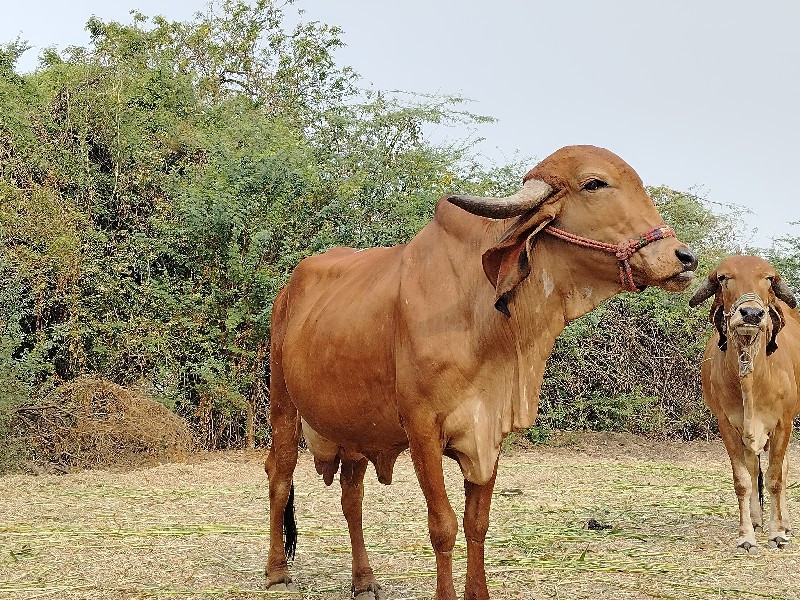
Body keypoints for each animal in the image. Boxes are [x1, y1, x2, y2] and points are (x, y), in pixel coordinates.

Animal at [262, 146, 692, 600]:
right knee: (280, 474)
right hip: (284, 403)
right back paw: (277, 571)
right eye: (595, 184)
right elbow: (443, 526)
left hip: (356, 428)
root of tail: (289, 287)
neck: (479, 312)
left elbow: (477, 524)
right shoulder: (422, 431)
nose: (685, 258)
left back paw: (364, 580)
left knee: (352, 495)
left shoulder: (489, 432)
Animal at [692, 254, 796, 552]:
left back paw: (784, 524)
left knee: (783, 469)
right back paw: (758, 520)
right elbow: (743, 480)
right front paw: (746, 535)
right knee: (752, 468)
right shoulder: (726, 426)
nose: (751, 313)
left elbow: (775, 477)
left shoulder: (783, 423)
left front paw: (777, 532)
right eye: (724, 277)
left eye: (768, 278)